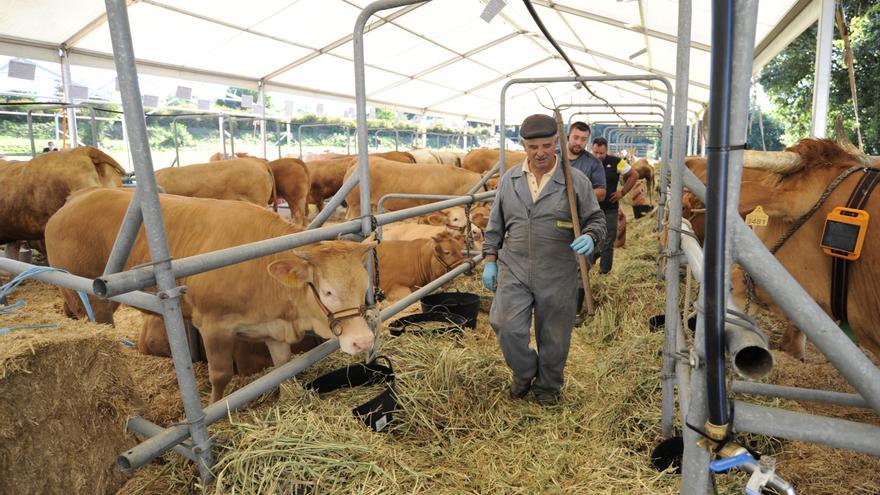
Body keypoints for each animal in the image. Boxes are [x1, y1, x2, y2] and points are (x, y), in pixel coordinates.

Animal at [45, 190, 374, 404]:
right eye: (328, 291)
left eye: (364, 285)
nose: (364, 342)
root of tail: (73, 201)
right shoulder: (214, 326)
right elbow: (221, 374)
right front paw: (216, 407)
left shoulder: (273, 329)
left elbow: (282, 366)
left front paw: (281, 398)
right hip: (91, 299)